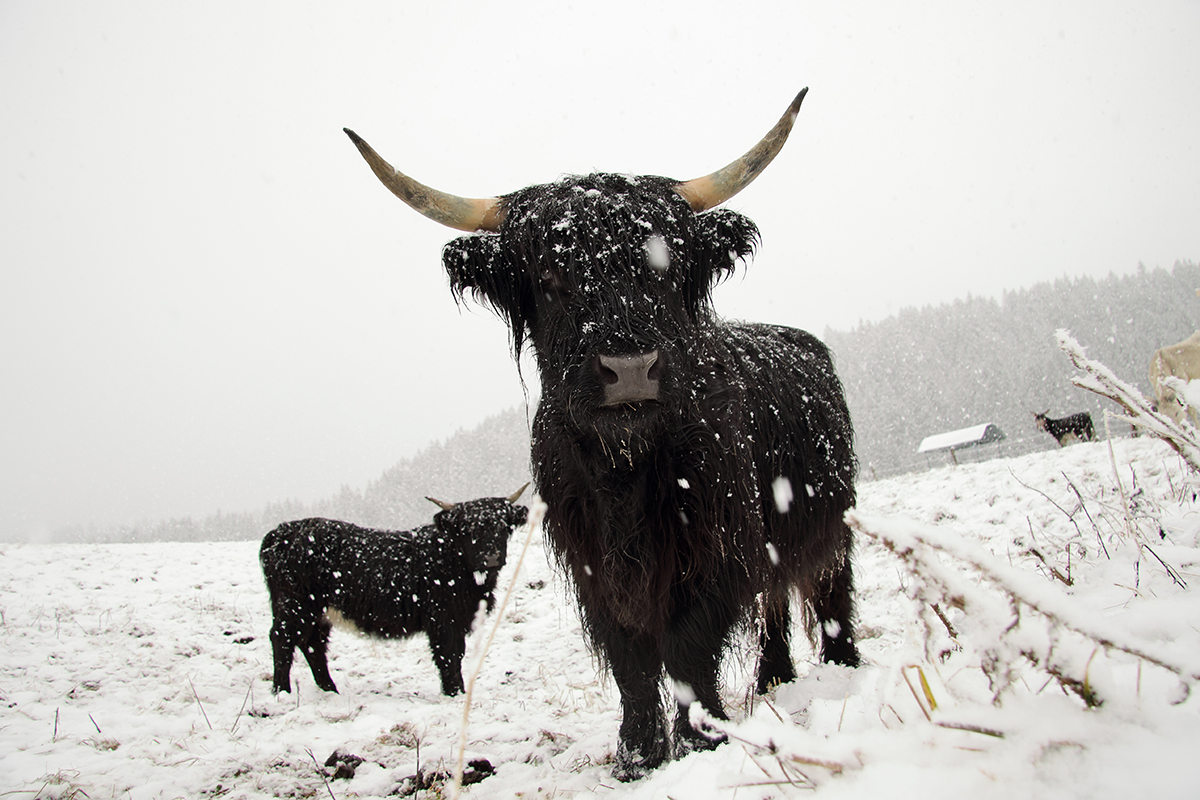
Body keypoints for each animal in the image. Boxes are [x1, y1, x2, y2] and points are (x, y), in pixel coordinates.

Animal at [260, 484, 528, 695]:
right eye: (467, 529)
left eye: (503, 526)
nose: (491, 557)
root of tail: (282, 531)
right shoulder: (442, 619)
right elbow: (448, 655)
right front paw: (454, 692)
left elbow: (457, 654)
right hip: (295, 605)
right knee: (283, 638)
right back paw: (281, 691)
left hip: (318, 612)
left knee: (313, 644)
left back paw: (330, 690)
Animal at [343, 89, 859, 782]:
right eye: (550, 277)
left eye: (665, 267)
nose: (630, 369)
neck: (625, 471)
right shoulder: (593, 566)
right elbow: (630, 662)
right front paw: (636, 757)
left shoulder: (715, 547)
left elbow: (689, 648)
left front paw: (701, 742)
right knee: (774, 604)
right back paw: (774, 678)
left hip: (829, 519)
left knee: (827, 589)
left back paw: (841, 669)